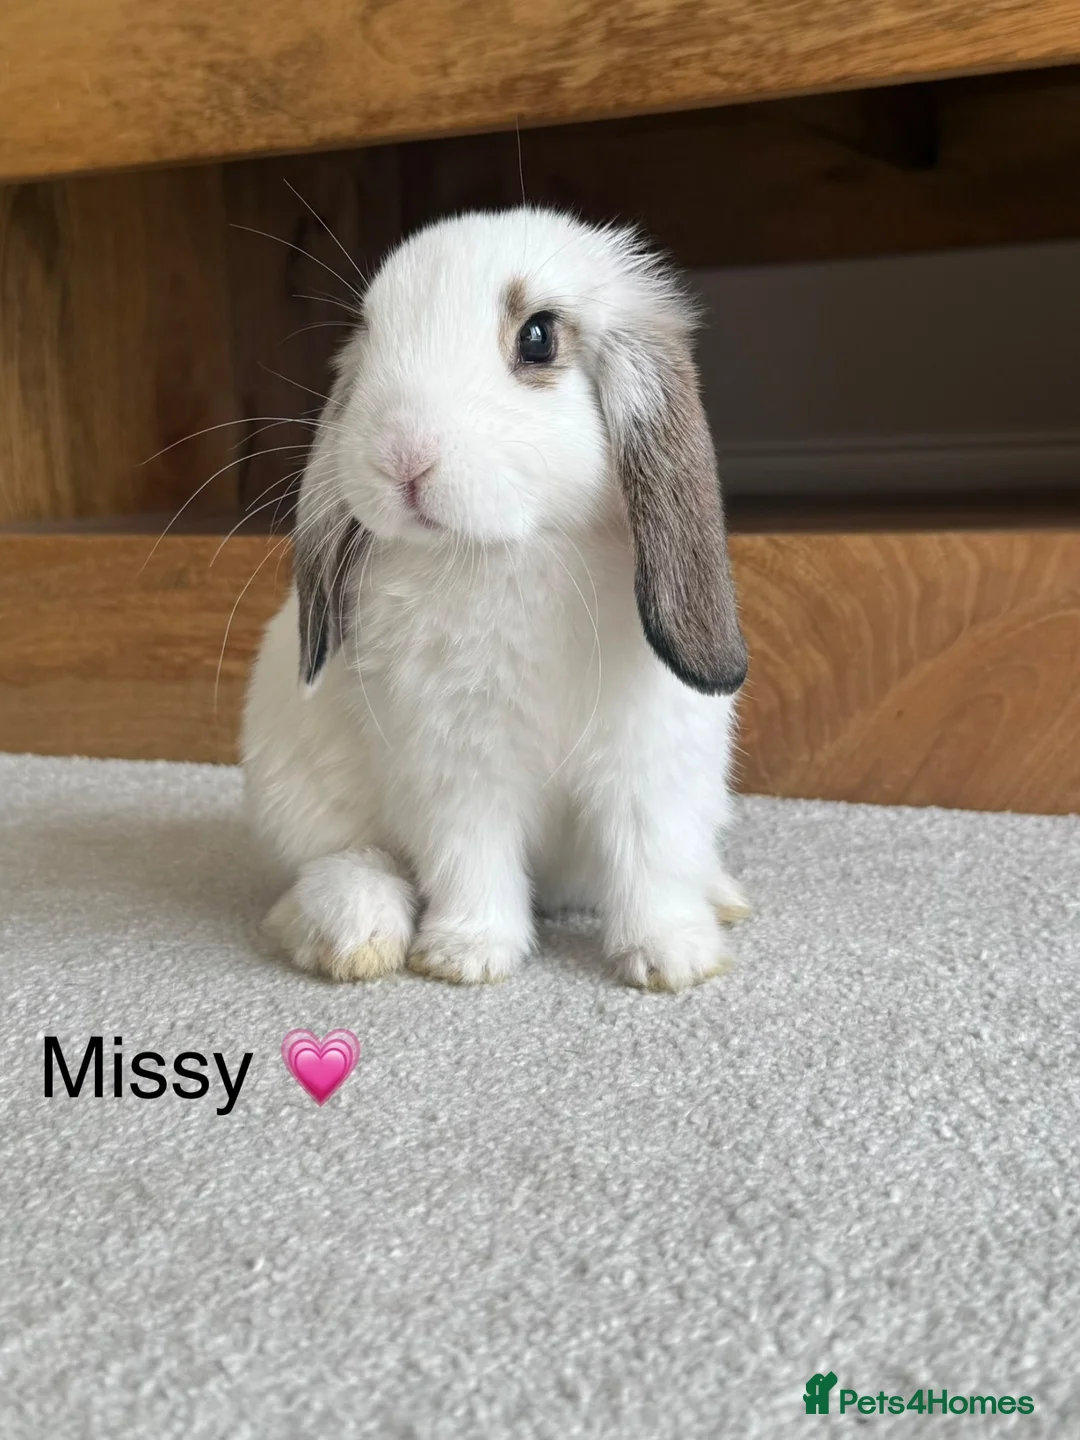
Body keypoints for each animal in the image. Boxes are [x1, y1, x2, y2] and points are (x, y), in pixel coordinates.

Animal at [242, 206, 751, 991]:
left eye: (537, 336)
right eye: (372, 334)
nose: (401, 455)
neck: (511, 550)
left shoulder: (649, 766)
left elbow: (650, 862)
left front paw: (674, 960)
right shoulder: (456, 770)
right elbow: (471, 860)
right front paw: (466, 957)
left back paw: (722, 897)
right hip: (296, 789)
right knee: (326, 875)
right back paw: (355, 935)